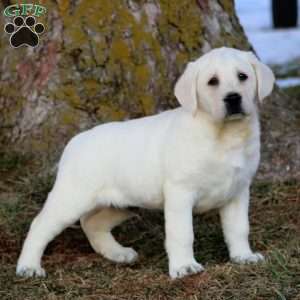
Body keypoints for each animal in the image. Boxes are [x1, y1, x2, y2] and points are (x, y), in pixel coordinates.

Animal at [15, 47, 274, 278]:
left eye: (242, 76)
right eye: (212, 81)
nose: (233, 98)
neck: (225, 136)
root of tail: (76, 140)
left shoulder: (237, 191)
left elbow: (238, 228)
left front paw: (243, 257)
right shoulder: (180, 192)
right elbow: (182, 233)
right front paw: (184, 267)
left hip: (123, 204)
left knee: (92, 223)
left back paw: (118, 253)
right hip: (72, 197)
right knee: (40, 225)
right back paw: (28, 267)